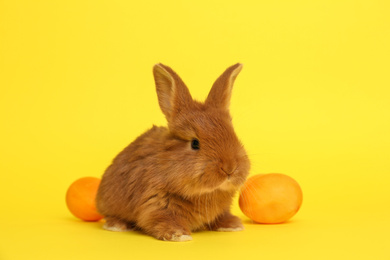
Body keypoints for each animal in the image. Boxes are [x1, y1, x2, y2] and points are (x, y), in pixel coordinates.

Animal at [96, 63, 251, 242]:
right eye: (195, 143)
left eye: (234, 136)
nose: (229, 168)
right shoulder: (156, 205)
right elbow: (163, 221)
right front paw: (179, 235)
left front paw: (233, 225)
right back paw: (116, 225)